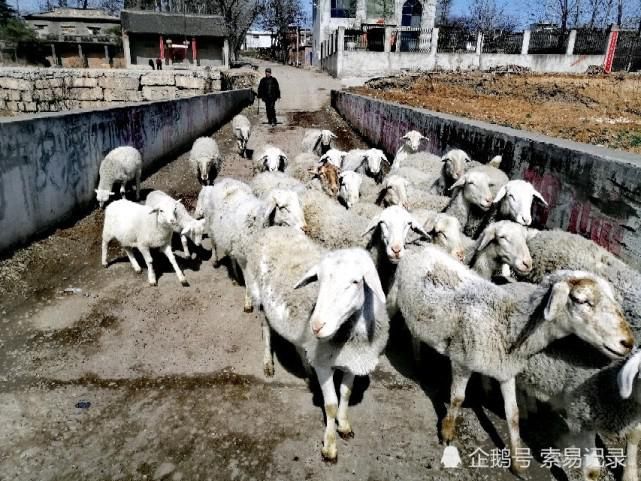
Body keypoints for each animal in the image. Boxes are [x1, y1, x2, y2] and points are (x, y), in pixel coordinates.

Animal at [242, 226, 388, 462]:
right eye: (318, 279)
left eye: (356, 282)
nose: (317, 326)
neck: (350, 338)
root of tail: (273, 229)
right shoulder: (324, 364)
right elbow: (330, 405)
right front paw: (329, 446)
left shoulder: (353, 362)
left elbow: (346, 394)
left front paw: (344, 425)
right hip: (259, 298)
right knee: (266, 331)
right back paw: (268, 364)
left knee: (298, 343)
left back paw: (306, 367)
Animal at [396, 249, 636, 474]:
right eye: (580, 300)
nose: (628, 342)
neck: (506, 325)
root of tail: (422, 248)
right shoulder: (461, 360)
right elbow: (457, 398)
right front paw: (447, 432)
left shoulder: (507, 372)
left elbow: (513, 414)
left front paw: (517, 463)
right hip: (410, 311)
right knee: (413, 335)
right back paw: (417, 360)